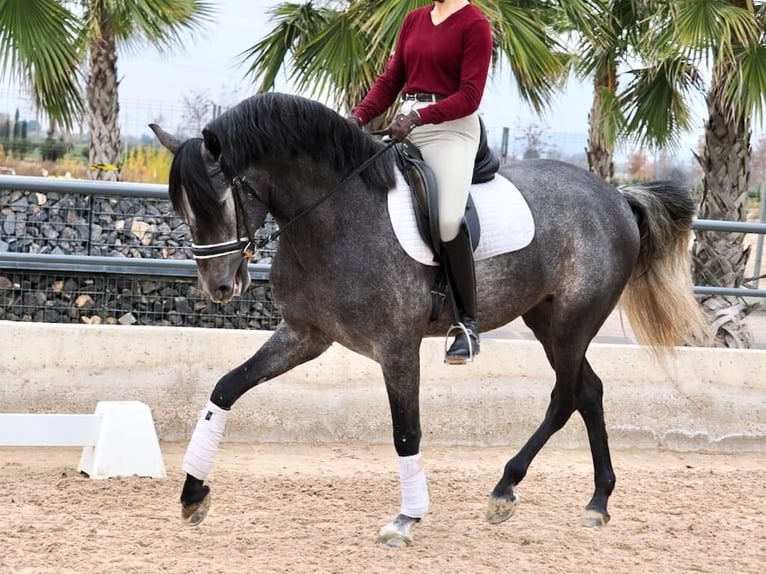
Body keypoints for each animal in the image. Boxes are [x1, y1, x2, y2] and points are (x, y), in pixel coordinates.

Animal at [150, 91, 712, 548]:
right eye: (184, 208)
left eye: (222, 201)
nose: (219, 287)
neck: (335, 217)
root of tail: (615, 195)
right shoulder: (305, 336)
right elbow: (226, 388)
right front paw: (192, 494)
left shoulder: (397, 347)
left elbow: (407, 432)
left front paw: (406, 519)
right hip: (546, 319)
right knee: (588, 392)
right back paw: (594, 502)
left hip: (575, 321)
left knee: (566, 396)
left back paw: (508, 489)